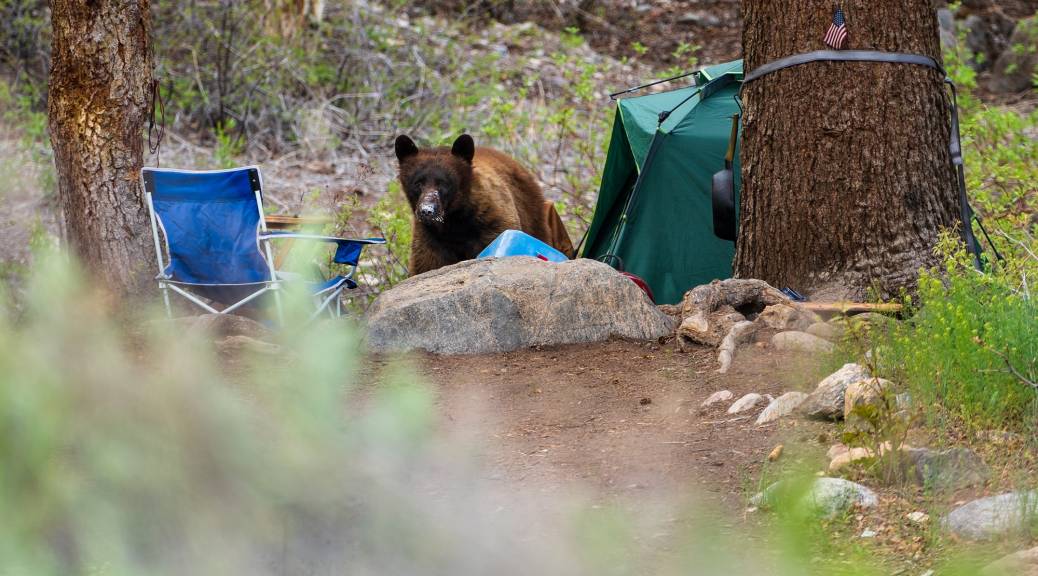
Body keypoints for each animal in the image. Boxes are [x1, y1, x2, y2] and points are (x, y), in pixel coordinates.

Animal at [394, 133, 573, 276]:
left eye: (443, 183)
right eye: (418, 183)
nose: (427, 210)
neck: (454, 223)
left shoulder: (492, 222)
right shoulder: (430, 238)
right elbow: (426, 265)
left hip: (533, 214)